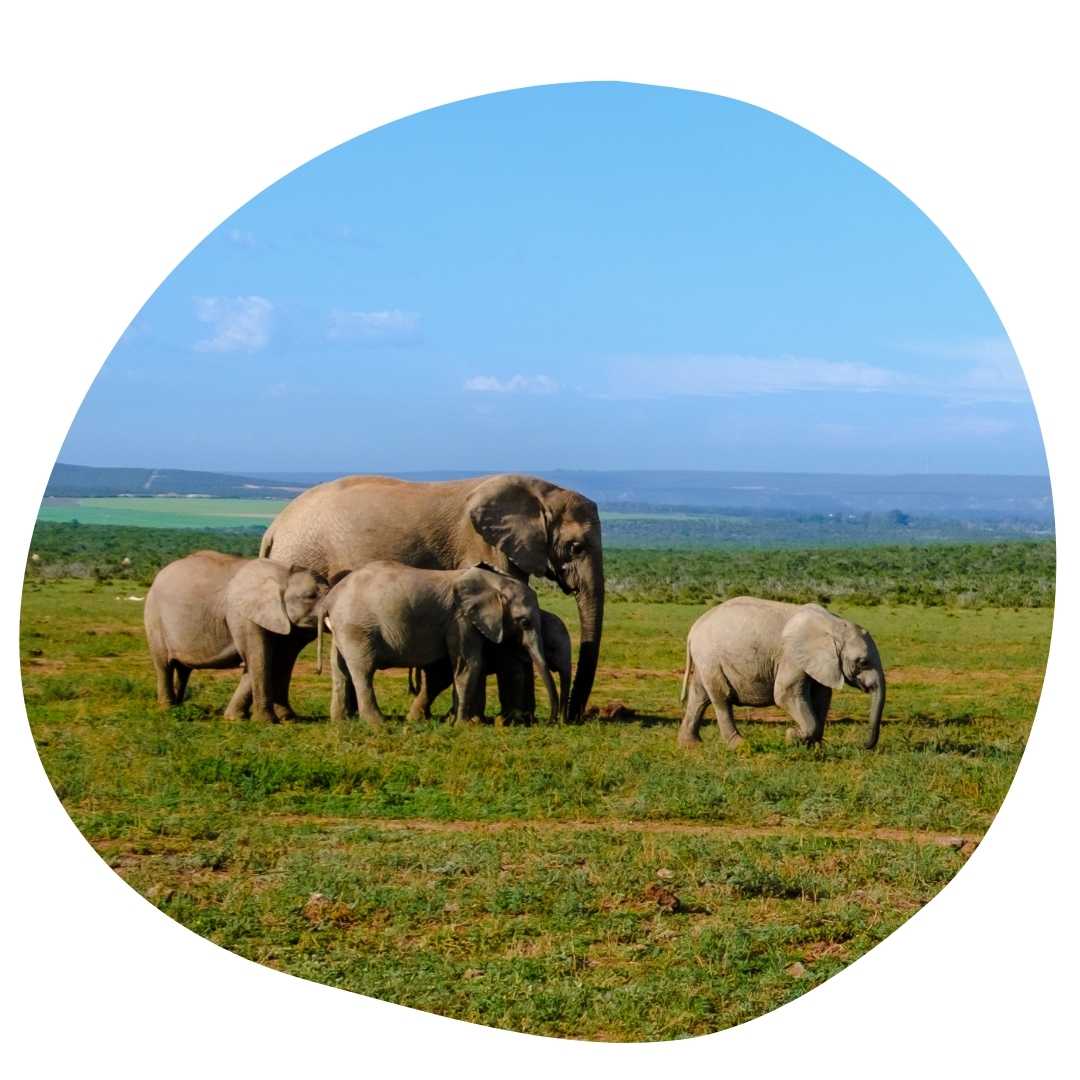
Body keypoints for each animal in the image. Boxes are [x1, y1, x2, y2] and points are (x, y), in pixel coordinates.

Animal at [143, 552, 329, 723]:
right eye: (310, 596)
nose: (318, 671)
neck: (282, 573)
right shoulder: (242, 615)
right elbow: (259, 658)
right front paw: (265, 722)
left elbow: (272, 659)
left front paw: (236, 718)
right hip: (154, 617)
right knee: (164, 665)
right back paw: (168, 709)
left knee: (183, 669)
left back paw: (179, 705)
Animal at [678, 597, 885, 750]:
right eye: (863, 662)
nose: (865, 745)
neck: (834, 626)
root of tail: (693, 629)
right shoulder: (792, 656)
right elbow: (785, 694)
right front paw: (792, 736)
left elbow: (822, 697)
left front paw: (814, 747)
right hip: (710, 658)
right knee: (722, 697)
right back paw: (740, 745)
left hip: (705, 659)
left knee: (699, 695)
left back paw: (691, 745)